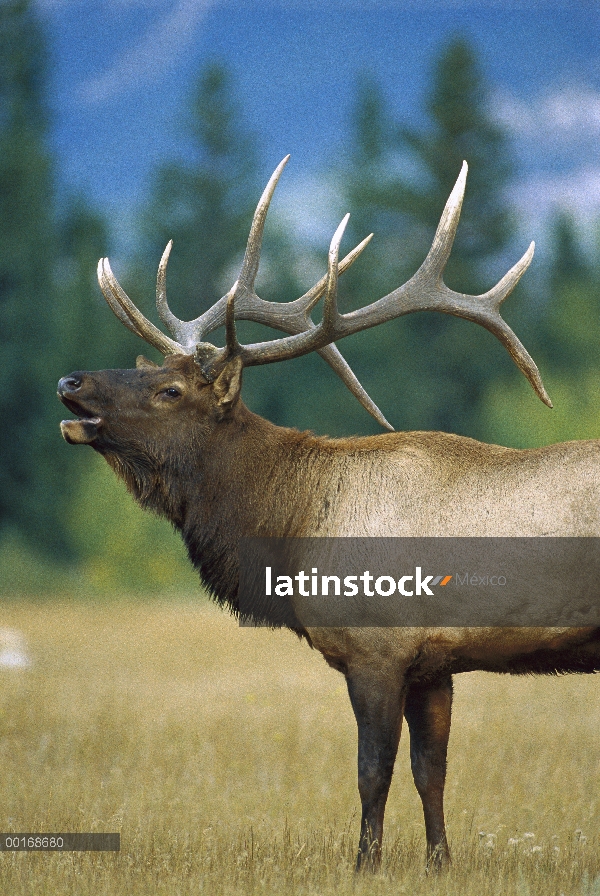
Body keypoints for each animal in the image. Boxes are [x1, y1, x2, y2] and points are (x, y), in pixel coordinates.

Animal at [57, 158, 600, 872]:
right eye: (147, 367)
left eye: (170, 390)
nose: (70, 382)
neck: (292, 530)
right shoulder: (434, 664)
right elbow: (432, 773)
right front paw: (439, 862)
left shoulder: (375, 648)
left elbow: (373, 772)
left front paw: (365, 864)